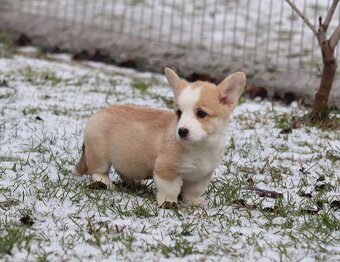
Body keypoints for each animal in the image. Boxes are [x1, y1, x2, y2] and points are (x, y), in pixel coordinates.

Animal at [73, 67, 244, 209]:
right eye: (179, 113)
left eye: (201, 113)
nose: (181, 131)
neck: (200, 146)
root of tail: (97, 114)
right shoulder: (166, 170)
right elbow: (170, 190)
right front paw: (169, 204)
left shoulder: (202, 175)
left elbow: (194, 191)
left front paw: (194, 202)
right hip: (99, 154)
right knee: (98, 171)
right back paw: (106, 184)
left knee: (123, 171)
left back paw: (136, 184)